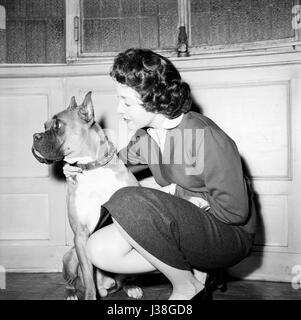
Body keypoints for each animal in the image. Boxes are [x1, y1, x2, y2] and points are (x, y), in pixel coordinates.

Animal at [31, 92, 142, 300]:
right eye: (44, 125)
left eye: (57, 125)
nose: (35, 136)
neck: (91, 168)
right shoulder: (81, 235)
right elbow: (88, 277)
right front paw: (90, 295)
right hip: (71, 255)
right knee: (72, 281)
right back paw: (72, 293)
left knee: (125, 277)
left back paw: (131, 286)